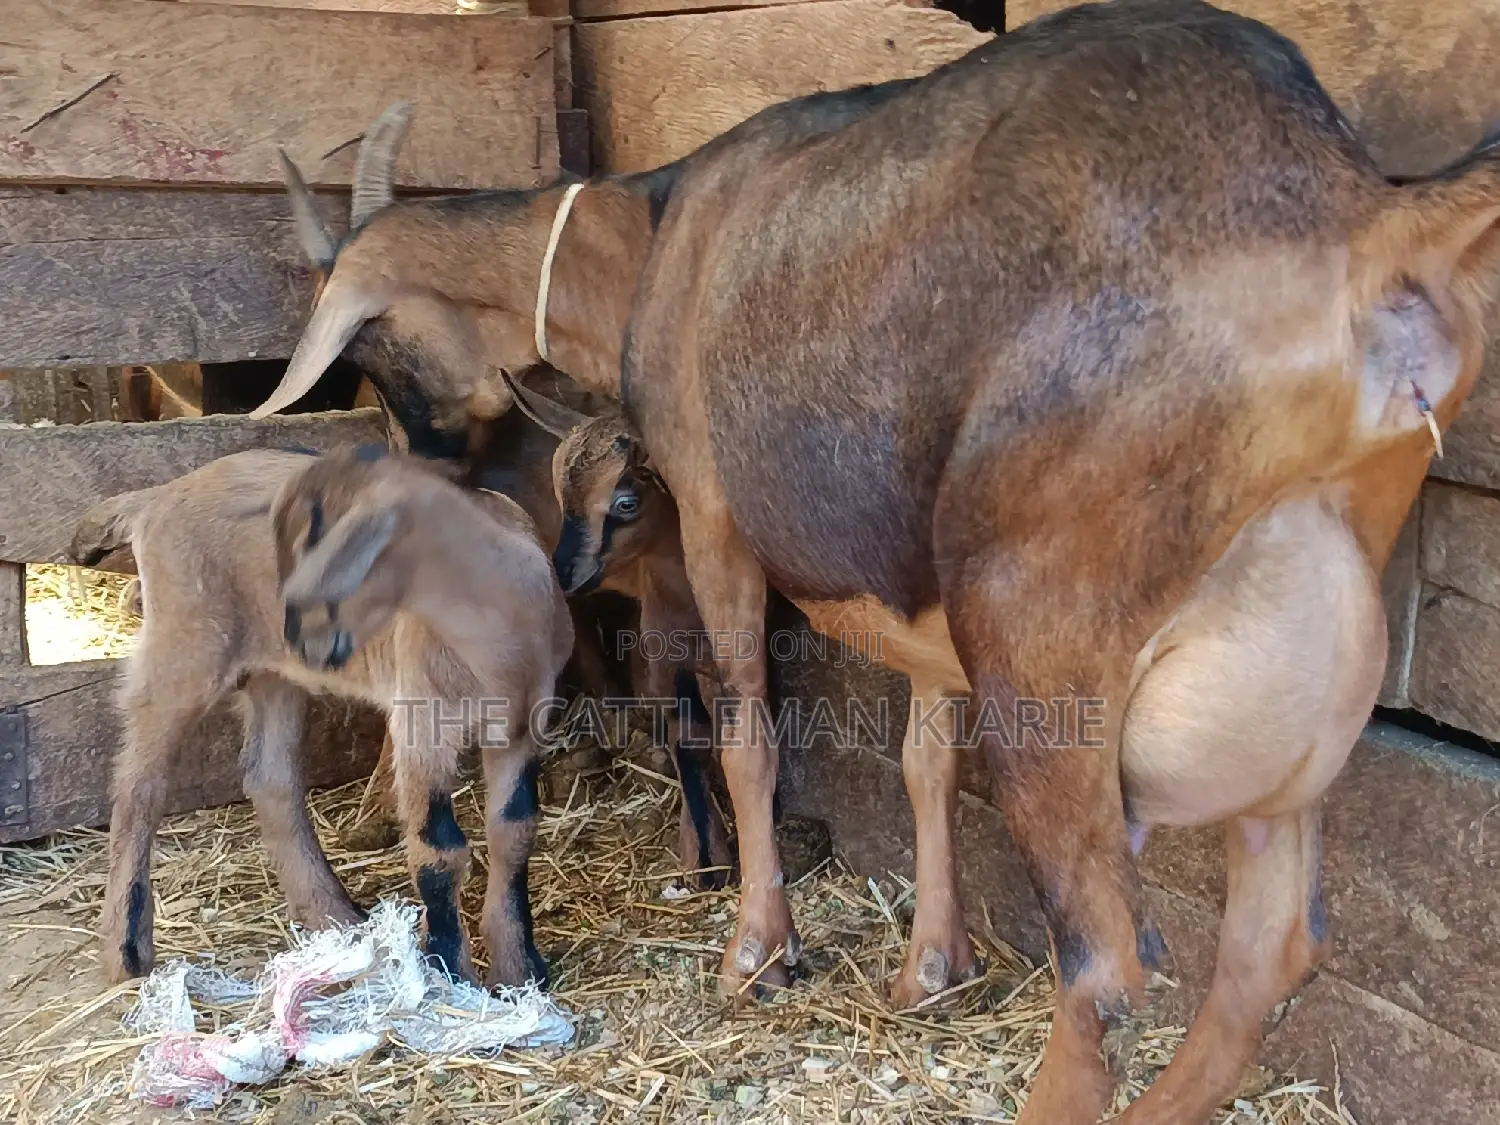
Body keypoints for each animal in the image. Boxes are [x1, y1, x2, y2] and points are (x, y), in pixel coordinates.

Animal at [71, 445, 572, 990]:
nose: (305, 629)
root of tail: (154, 499)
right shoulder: (422, 722)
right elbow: (438, 849)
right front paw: (451, 974)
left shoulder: (522, 727)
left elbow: (515, 831)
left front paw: (520, 967)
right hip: (187, 641)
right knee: (139, 783)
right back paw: (126, 951)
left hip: (271, 672)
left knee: (270, 777)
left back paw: (334, 915)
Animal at [244, 3, 1500, 1120]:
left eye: (372, 349)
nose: (428, 462)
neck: (657, 235)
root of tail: (1363, 221)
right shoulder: (919, 599)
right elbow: (924, 761)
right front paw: (931, 968)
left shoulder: (715, 512)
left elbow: (748, 733)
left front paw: (760, 951)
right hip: (1291, 671)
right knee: (1268, 958)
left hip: (1038, 622)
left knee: (1104, 968)